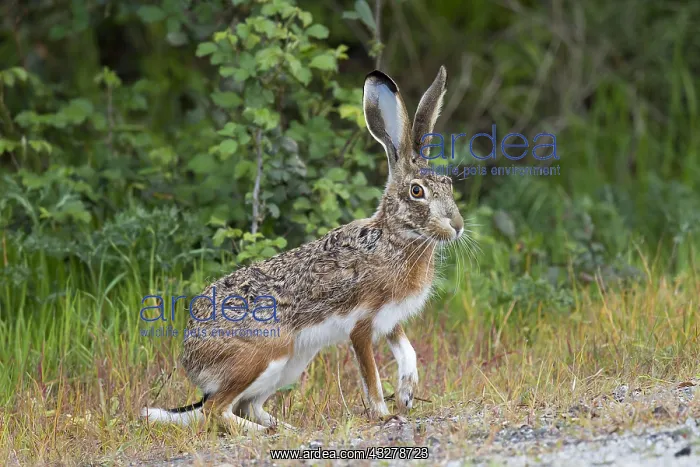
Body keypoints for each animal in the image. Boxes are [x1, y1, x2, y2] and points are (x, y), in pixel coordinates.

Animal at [141, 66, 464, 431]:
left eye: (449, 185)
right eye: (417, 192)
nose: (457, 225)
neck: (394, 238)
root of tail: (191, 359)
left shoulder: (391, 320)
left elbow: (407, 352)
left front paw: (408, 393)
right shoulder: (362, 325)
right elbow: (371, 377)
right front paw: (385, 414)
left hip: (293, 361)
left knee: (247, 405)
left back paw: (288, 429)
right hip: (265, 353)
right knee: (217, 411)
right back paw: (265, 434)